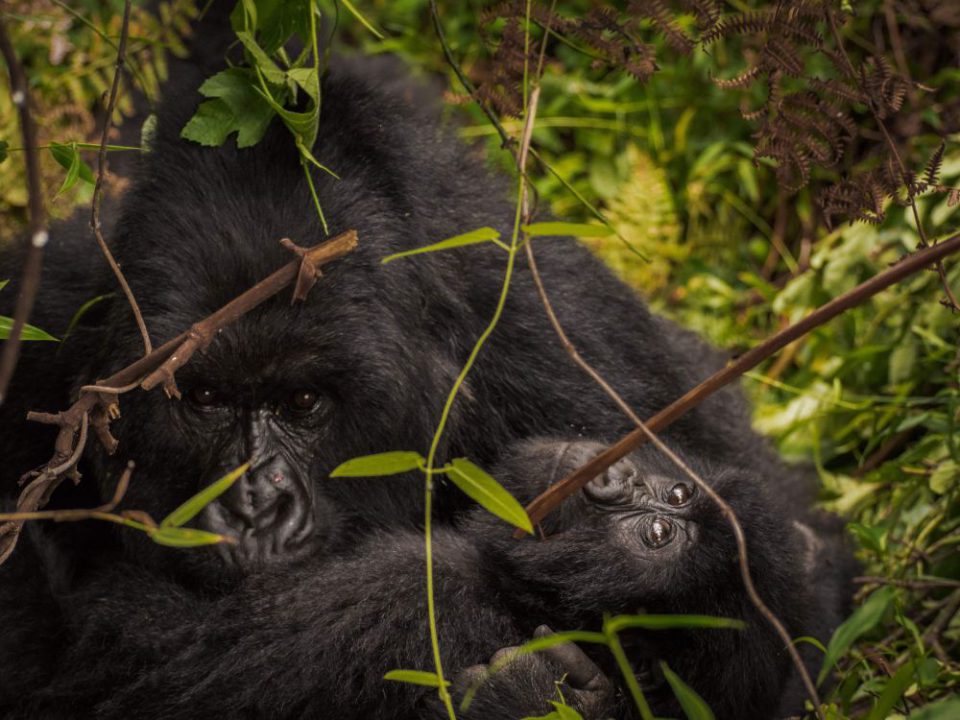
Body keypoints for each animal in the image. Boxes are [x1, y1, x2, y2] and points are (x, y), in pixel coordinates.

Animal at [0, 16, 856, 720]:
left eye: (304, 402)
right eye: (204, 398)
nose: (256, 509)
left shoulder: (568, 337)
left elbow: (794, 618)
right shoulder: (41, 323)